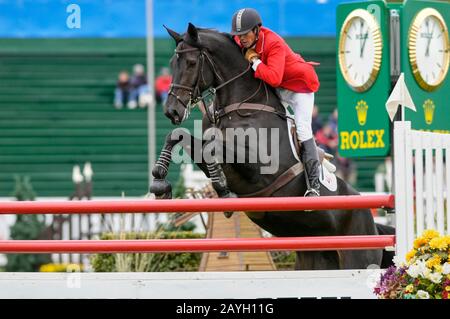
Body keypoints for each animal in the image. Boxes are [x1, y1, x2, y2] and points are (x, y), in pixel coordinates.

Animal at [149, 23, 392, 272]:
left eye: (191, 63)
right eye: (172, 63)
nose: (171, 111)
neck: (242, 106)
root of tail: (374, 224)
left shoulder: (260, 168)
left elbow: (213, 146)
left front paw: (223, 191)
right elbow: (179, 136)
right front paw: (160, 183)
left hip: (358, 255)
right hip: (314, 257)